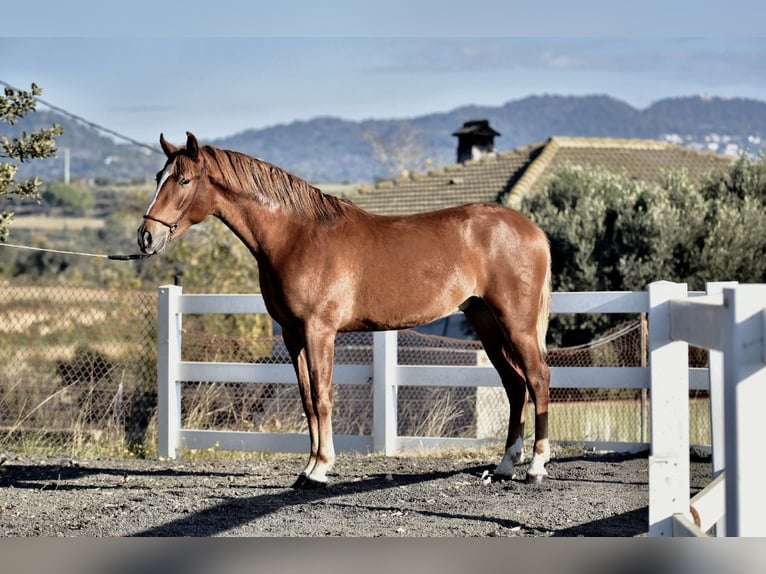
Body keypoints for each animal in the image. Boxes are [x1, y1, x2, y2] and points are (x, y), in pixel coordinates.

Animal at [138, 131, 553, 489]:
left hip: (516, 323)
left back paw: (535, 467)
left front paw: (321, 468)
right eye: (159, 177)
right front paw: (307, 469)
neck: (296, 236)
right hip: (486, 322)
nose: (146, 237)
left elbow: (323, 397)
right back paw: (505, 465)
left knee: (537, 379)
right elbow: (307, 400)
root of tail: (533, 230)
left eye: (184, 180)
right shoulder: (293, 335)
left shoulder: (318, 331)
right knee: (515, 384)